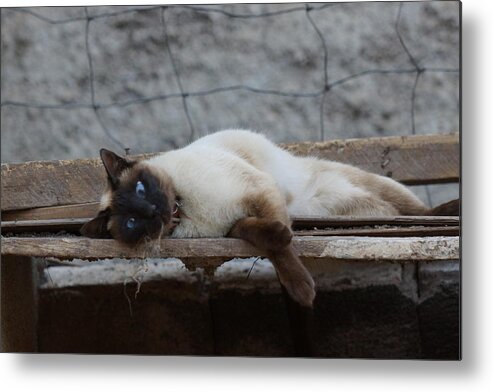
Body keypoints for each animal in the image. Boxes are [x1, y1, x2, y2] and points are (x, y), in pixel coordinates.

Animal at [80, 129, 458, 306]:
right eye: (132, 223)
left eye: (141, 188)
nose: (152, 211)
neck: (184, 208)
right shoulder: (233, 224)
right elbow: (264, 237)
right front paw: (301, 287)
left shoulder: (259, 191)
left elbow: (280, 248)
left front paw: (302, 290)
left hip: (372, 184)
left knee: (414, 210)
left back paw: (449, 210)